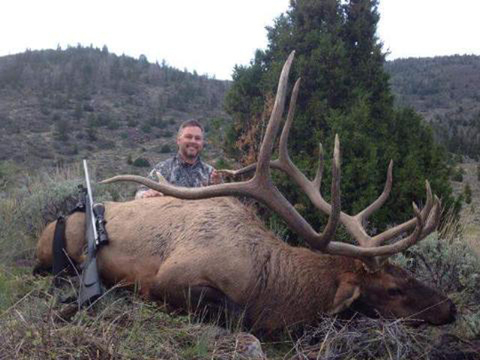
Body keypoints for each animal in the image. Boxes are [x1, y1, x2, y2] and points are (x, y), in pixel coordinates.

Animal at [35, 52, 456, 334]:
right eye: (393, 289)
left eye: (406, 272)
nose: (450, 307)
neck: (268, 284)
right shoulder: (171, 277)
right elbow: (237, 315)